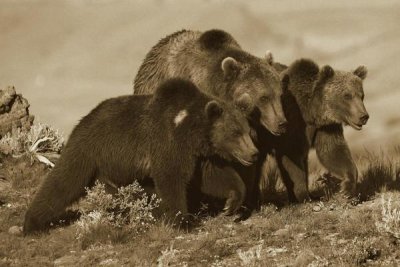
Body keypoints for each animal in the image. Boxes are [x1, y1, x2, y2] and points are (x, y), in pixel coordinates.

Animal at [23, 78, 258, 233]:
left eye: (248, 130)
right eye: (235, 133)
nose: (253, 153)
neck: (192, 131)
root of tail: (82, 120)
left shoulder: (199, 155)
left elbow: (213, 177)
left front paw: (232, 203)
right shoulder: (168, 142)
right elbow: (171, 178)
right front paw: (183, 221)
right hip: (91, 151)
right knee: (65, 180)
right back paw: (31, 223)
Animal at [260, 58, 368, 201]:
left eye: (361, 95)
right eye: (347, 96)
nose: (363, 116)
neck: (311, 112)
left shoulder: (325, 127)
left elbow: (332, 152)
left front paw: (347, 188)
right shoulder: (291, 124)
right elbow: (291, 159)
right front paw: (302, 196)